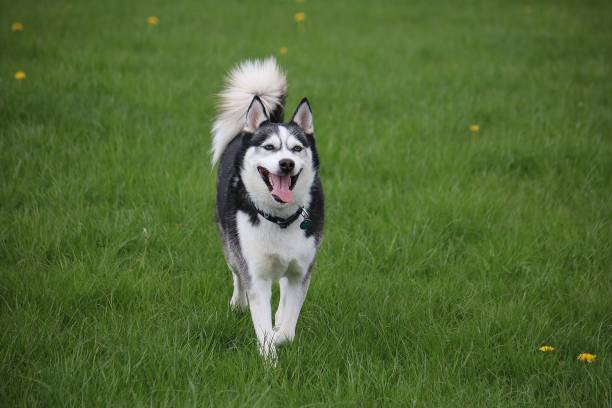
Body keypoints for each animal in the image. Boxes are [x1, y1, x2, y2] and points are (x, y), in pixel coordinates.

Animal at [212, 58, 322, 360]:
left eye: (296, 148)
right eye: (270, 147)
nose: (286, 163)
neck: (279, 219)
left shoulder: (300, 273)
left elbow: (287, 329)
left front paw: (279, 334)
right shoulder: (256, 275)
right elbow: (262, 324)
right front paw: (269, 356)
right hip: (230, 247)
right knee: (235, 275)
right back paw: (237, 303)